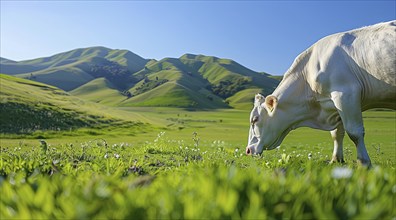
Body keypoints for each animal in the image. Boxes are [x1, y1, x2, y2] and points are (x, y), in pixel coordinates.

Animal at [246, 20, 394, 166]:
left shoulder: (345, 94)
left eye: (255, 119)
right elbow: (337, 134)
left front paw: (363, 162)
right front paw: (336, 159)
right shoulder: (335, 104)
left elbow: (355, 132)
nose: (248, 150)